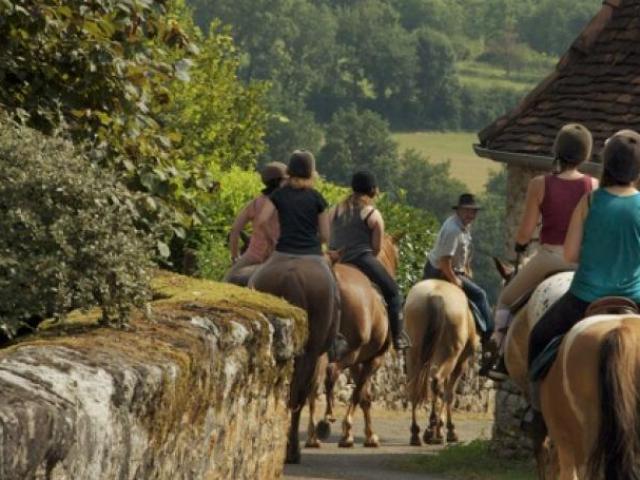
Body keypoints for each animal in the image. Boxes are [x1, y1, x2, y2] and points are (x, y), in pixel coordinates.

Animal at [316, 234, 400, 448]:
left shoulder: (357, 361)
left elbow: (363, 396)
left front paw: (361, 434)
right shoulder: (373, 359)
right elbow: (360, 393)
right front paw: (351, 433)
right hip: (354, 351)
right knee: (332, 371)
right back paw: (327, 417)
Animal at [404, 280, 480, 444]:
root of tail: (435, 294)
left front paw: (436, 426)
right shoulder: (461, 363)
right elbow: (449, 394)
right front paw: (448, 429)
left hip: (413, 353)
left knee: (414, 387)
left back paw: (416, 433)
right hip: (451, 356)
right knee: (437, 382)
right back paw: (434, 430)